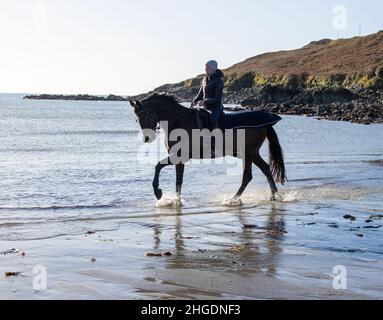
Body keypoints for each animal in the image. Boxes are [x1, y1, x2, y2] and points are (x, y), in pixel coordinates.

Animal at [130, 94, 286, 202]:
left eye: (144, 116)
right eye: (137, 119)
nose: (147, 139)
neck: (178, 121)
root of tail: (265, 124)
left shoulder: (179, 155)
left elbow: (158, 166)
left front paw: (158, 193)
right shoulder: (180, 159)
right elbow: (178, 180)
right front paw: (176, 200)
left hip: (250, 153)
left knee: (254, 173)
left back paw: (238, 199)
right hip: (248, 154)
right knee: (259, 171)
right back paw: (268, 196)